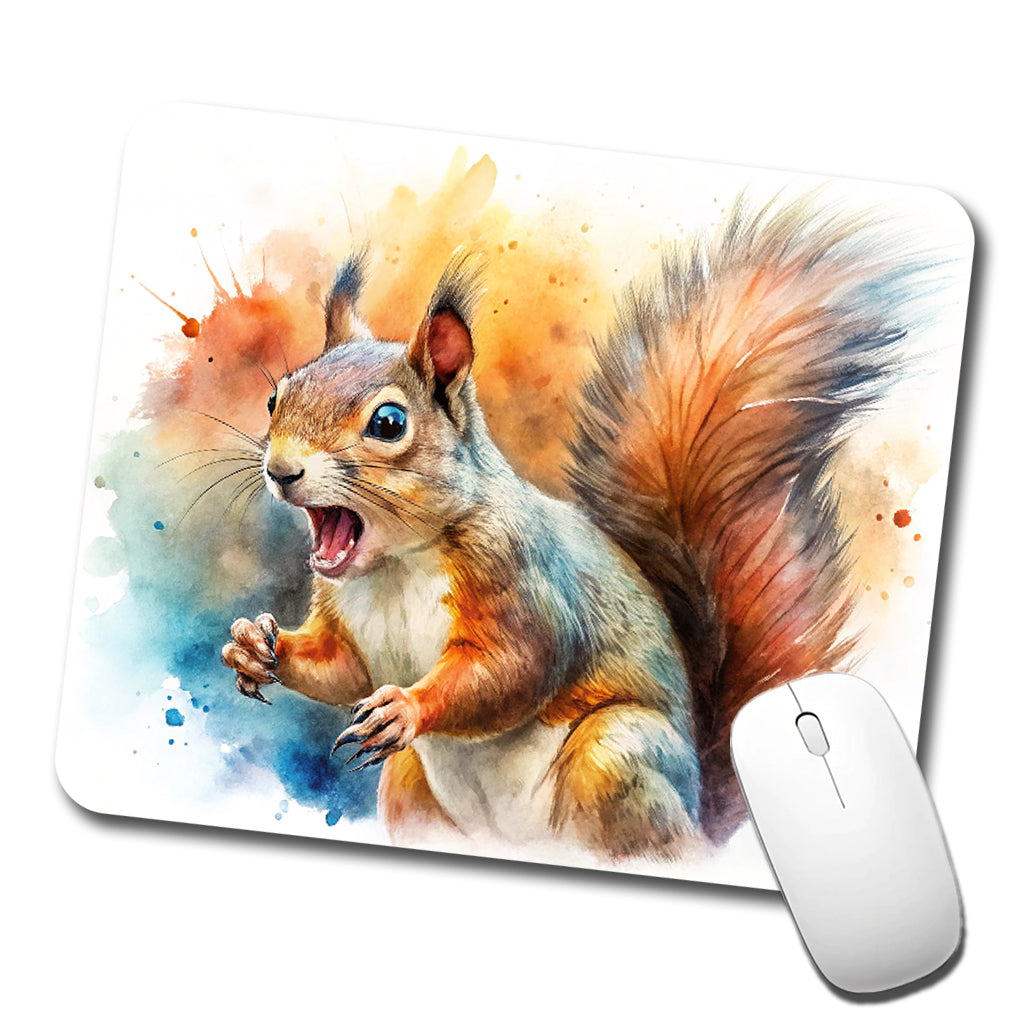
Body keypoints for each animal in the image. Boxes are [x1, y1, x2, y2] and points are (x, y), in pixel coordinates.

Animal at [221, 193, 925, 860]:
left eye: (389, 423)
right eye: (276, 397)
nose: (281, 470)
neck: (397, 563)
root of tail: (701, 809)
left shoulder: (519, 578)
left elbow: (518, 666)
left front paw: (406, 706)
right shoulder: (346, 618)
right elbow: (340, 669)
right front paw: (255, 646)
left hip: (614, 758)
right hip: (410, 787)